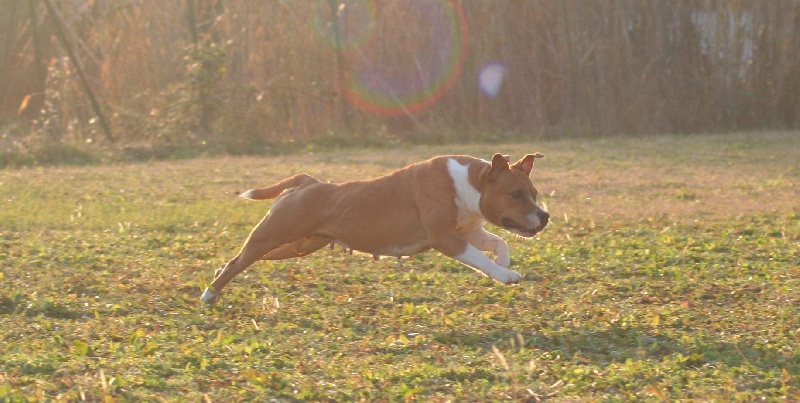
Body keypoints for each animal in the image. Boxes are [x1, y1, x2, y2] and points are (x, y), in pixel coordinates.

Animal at [201, 153, 549, 304]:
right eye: (515, 194)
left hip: (294, 246)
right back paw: (209, 293)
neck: (470, 182)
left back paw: (216, 281)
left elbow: (500, 243)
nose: (544, 216)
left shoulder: (467, 231)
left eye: (534, 193)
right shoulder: (447, 238)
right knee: (237, 261)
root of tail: (307, 182)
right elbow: (480, 258)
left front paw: (503, 263)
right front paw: (504, 274)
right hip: (272, 234)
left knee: (239, 261)